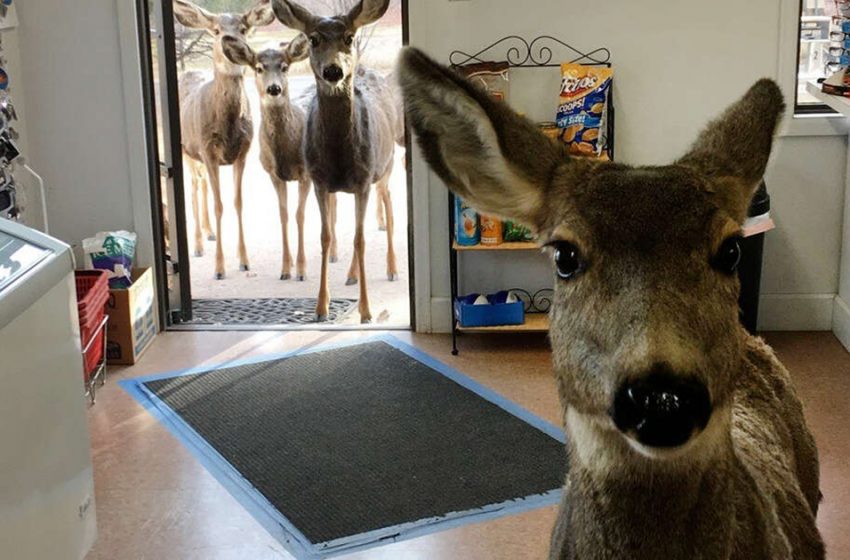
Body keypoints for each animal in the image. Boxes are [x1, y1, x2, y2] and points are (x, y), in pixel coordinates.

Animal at [173, 0, 274, 280]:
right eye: (216, 30)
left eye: (243, 28)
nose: (231, 43)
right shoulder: (207, 151)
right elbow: (219, 204)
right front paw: (219, 268)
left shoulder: (243, 152)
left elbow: (237, 203)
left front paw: (244, 261)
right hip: (185, 150)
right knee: (194, 188)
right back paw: (197, 244)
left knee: (202, 184)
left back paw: (209, 233)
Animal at [219, 34, 312, 280]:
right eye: (259, 68)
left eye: (285, 67)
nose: (274, 88)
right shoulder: (273, 173)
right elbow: (283, 215)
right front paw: (285, 269)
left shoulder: (305, 174)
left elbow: (300, 215)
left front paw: (302, 270)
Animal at [274, 0, 402, 324]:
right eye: (313, 39)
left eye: (349, 37)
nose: (333, 70)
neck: (338, 155)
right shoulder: (318, 180)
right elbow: (326, 236)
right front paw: (321, 307)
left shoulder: (364, 179)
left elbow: (360, 239)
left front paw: (366, 311)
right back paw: (351, 275)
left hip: (385, 166)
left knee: (388, 207)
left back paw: (392, 269)